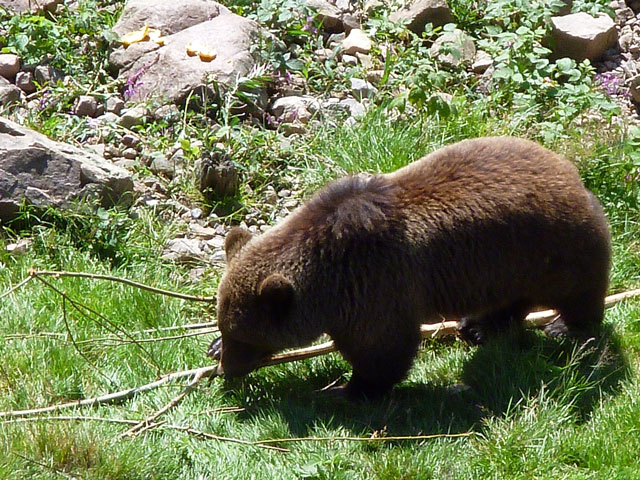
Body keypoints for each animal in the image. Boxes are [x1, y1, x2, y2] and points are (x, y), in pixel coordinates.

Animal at [208, 137, 612, 400]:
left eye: (245, 336)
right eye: (225, 326)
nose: (229, 368)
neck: (325, 282)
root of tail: (570, 171)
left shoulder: (375, 283)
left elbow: (382, 347)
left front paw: (350, 388)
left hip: (552, 245)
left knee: (578, 290)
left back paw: (565, 326)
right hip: (508, 264)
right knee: (510, 298)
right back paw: (477, 326)